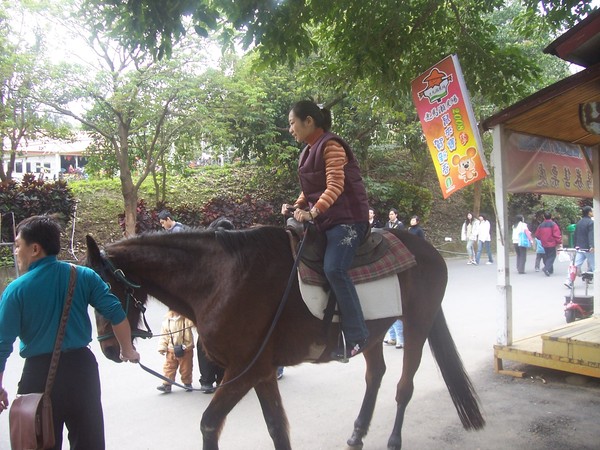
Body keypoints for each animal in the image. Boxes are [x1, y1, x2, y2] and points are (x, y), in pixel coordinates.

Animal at [86, 227, 486, 450]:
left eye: (105, 292)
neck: (221, 279)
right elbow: (277, 429)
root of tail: (428, 251)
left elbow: (209, 424)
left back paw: (393, 440)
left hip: (418, 323)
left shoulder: (242, 371)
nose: (108, 348)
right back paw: (358, 433)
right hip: (373, 334)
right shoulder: (260, 371)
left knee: (404, 386)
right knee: (376, 375)